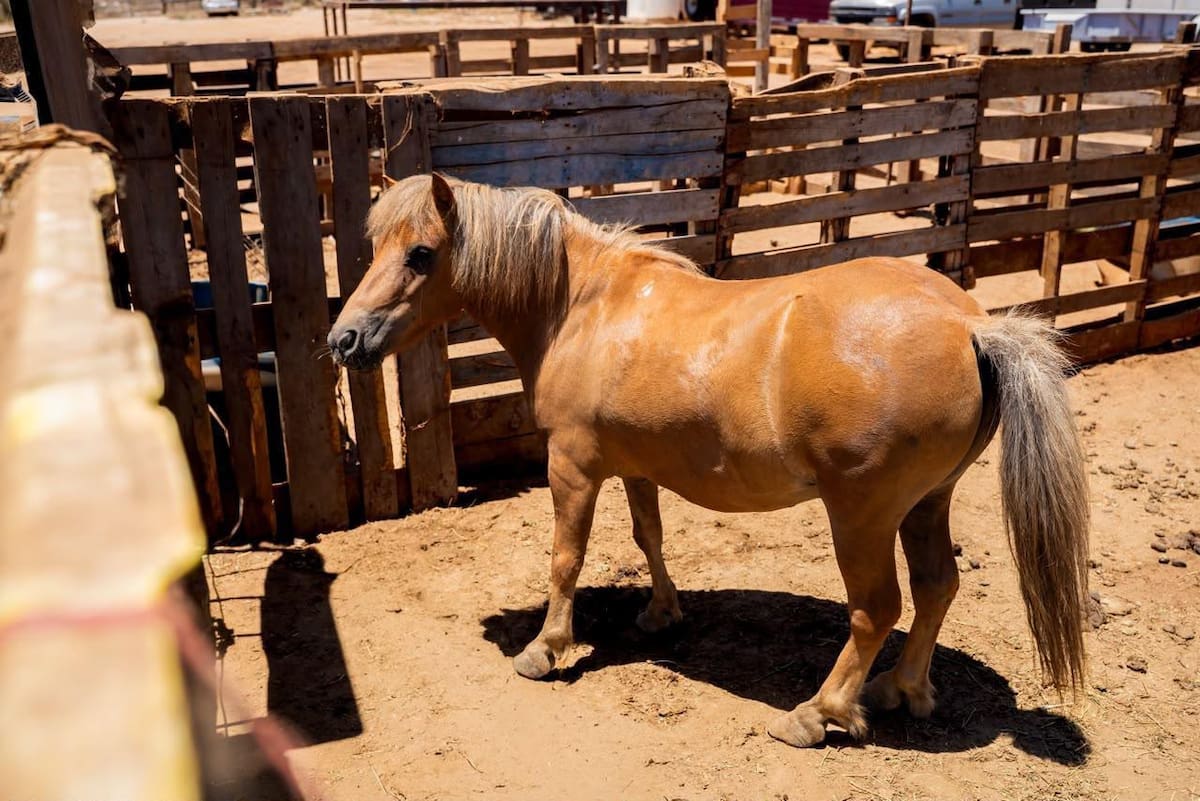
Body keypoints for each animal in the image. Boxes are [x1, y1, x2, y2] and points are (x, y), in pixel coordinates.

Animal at [328, 174, 1090, 747]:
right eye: (378, 246)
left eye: (420, 253)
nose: (343, 339)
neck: (583, 305)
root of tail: (969, 325)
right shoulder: (635, 464)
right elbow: (650, 536)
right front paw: (662, 613)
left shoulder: (571, 464)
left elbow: (565, 558)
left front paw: (545, 648)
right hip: (927, 503)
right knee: (936, 589)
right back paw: (902, 689)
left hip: (862, 514)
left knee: (876, 609)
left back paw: (818, 713)